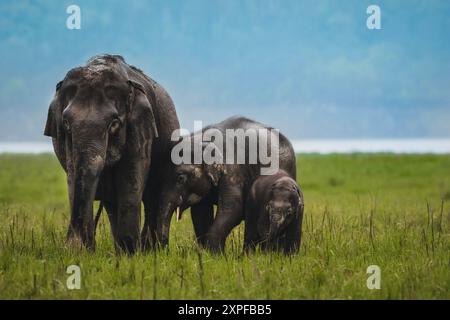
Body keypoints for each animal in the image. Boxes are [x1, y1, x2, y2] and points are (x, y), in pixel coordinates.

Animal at [44, 55, 179, 255]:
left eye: (114, 124)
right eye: (66, 123)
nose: (72, 245)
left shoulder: (139, 128)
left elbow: (130, 181)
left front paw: (132, 254)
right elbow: (73, 178)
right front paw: (84, 253)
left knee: (151, 197)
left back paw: (147, 250)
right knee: (111, 205)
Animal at [155, 116, 298, 254]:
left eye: (180, 178)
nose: (166, 252)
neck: (202, 140)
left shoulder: (233, 170)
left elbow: (232, 208)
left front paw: (215, 256)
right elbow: (200, 213)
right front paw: (208, 253)